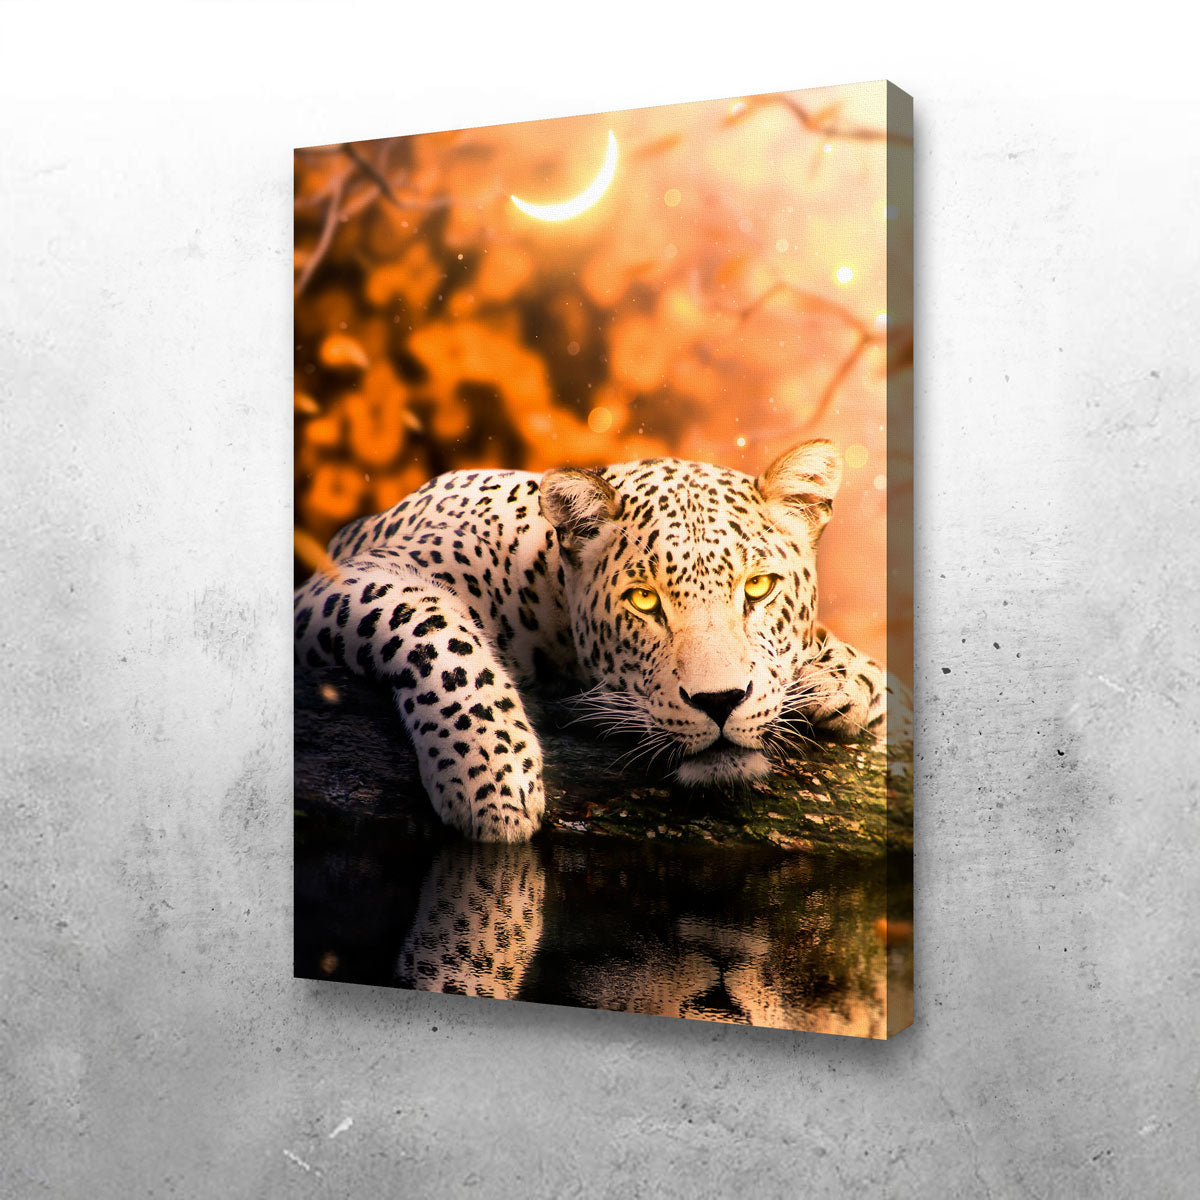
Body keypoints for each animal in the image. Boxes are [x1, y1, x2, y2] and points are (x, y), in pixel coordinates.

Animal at [294, 438, 895, 842]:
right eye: (644, 600)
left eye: (758, 587)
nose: (720, 702)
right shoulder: (348, 579)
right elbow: (434, 628)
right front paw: (492, 775)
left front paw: (844, 679)